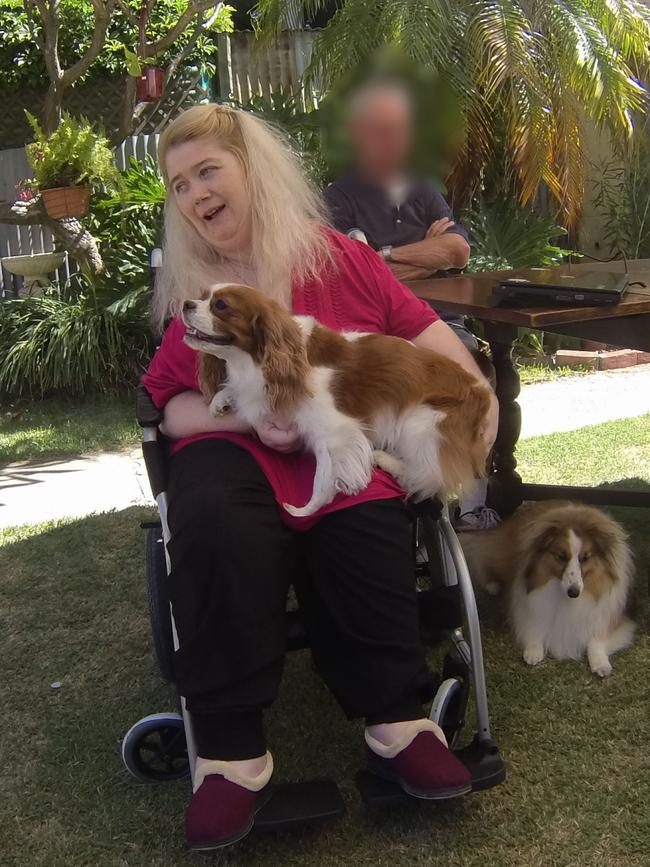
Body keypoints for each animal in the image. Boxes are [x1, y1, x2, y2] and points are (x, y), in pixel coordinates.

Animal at [180, 284, 488, 516]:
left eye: (220, 305)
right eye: (202, 295)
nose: (186, 303)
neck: (259, 362)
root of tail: (482, 392)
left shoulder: (334, 432)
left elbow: (322, 477)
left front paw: (304, 510)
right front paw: (221, 399)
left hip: (422, 423)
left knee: (430, 473)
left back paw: (386, 460)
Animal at [460, 502, 632, 680]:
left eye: (585, 558)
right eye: (561, 556)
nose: (573, 592)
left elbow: (597, 639)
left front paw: (600, 663)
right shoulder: (526, 605)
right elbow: (534, 624)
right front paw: (534, 650)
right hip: (501, 556)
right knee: (482, 558)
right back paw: (492, 585)